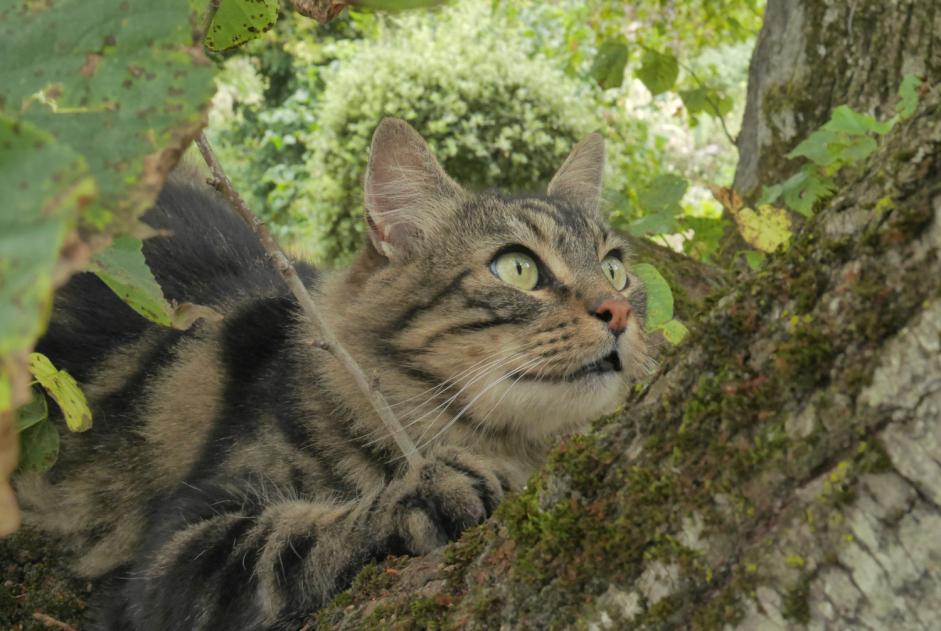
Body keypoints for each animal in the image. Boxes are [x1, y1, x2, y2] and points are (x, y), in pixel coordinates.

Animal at [14, 117, 648, 628]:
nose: (617, 312)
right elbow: (303, 537)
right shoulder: (174, 555)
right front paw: (429, 492)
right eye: (518, 268)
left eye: (615, 270)